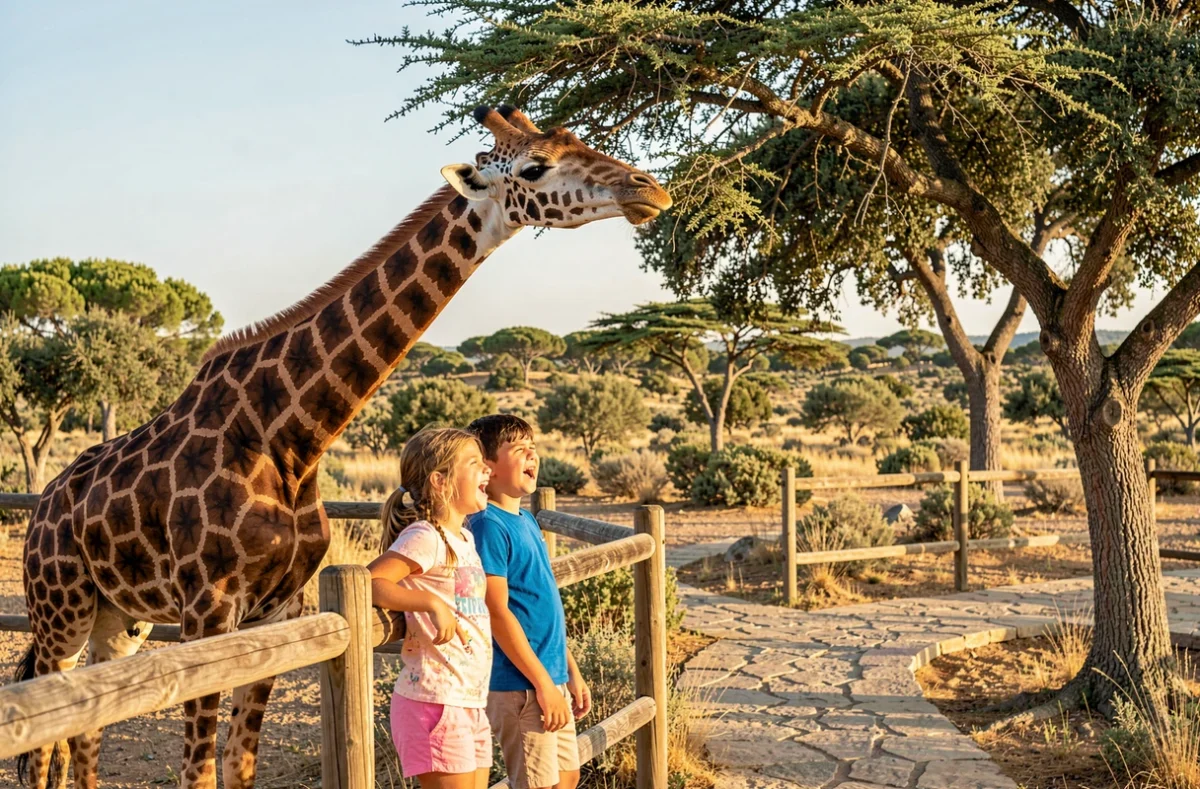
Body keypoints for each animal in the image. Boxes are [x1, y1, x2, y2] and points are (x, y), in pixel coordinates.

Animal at [17, 105, 671, 789]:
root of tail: (42, 505)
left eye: (577, 139)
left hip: (121, 619)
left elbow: (239, 764)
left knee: (84, 735)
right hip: (60, 609)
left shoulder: (274, 611)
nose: (650, 190)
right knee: (41, 746)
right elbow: (200, 771)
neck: (291, 437)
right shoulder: (206, 611)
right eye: (535, 166)